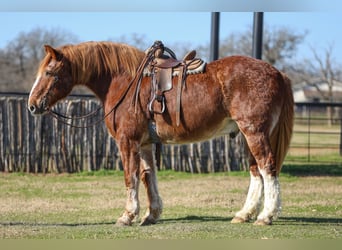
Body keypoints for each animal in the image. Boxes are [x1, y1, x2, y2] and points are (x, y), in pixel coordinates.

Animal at [27, 41, 294, 227]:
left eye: (49, 73)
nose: (32, 105)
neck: (123, 82)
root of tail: (277, 73)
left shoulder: (127, 142)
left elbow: (130, 177)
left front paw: (127, 216)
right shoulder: (145, 144)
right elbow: (148, 177)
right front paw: (151, 214)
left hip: (255, 133)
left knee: (267, 167)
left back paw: (266, 215)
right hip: (249, 136)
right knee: (256, 172)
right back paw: (244, 214)